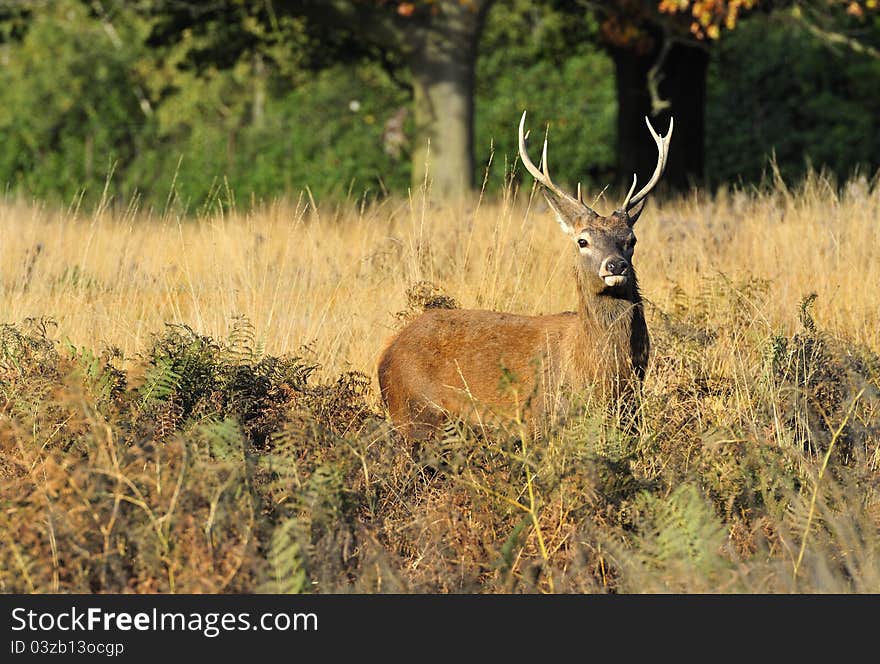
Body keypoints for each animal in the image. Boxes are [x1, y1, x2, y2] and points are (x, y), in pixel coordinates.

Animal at [378, 111, 672, 438]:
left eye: (631, 239)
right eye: (582, 241)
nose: (615, 265)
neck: (603, 374)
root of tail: (387, 353)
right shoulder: (547, 421)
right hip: (416, 413)